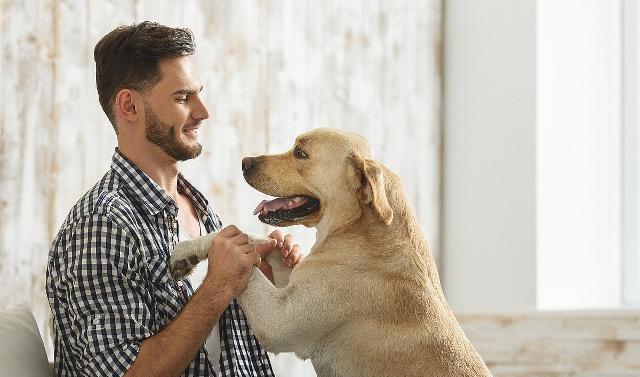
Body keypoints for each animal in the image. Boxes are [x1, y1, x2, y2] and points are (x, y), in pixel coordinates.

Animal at [170, 128, 490, 374]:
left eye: (300, 153)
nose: (245, 162)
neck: (355, 230)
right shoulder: (295, 284)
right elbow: (255, 237)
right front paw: (187, 252)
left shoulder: (277, 318)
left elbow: (238, 242)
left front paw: (194, 250)